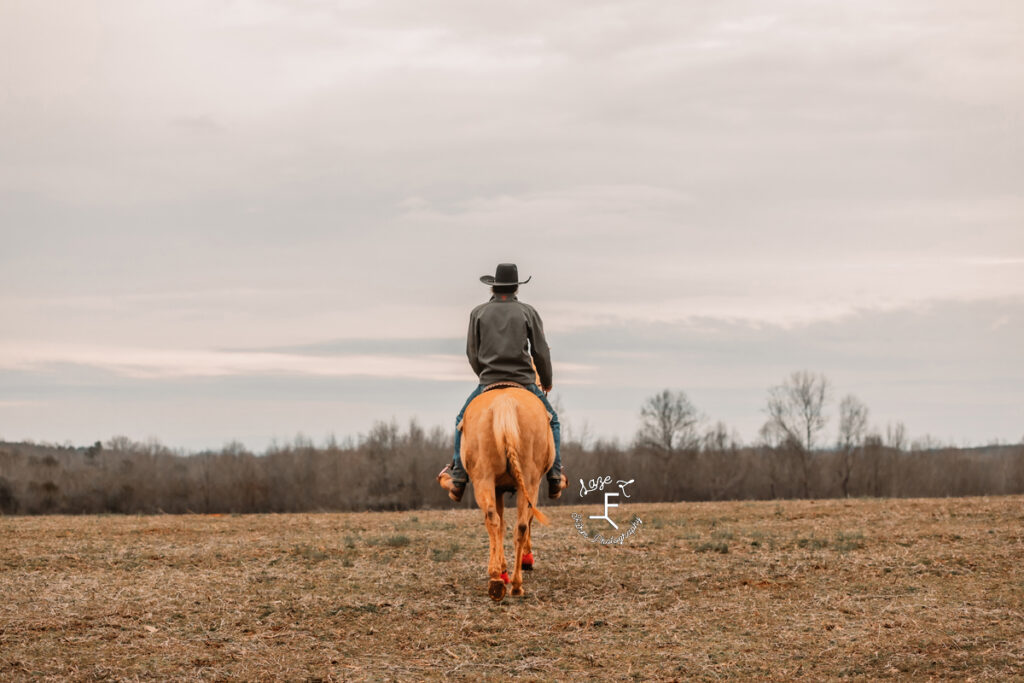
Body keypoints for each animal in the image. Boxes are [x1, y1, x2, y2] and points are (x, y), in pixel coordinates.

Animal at [458, 387, 552, 602]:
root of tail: (504, 403)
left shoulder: (498, 489)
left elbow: (501, 526)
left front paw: (504, 570)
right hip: (525, 483)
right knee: (519, 524)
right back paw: (511, 584)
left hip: (486, 480)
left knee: (498, 520)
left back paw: (500, 581)